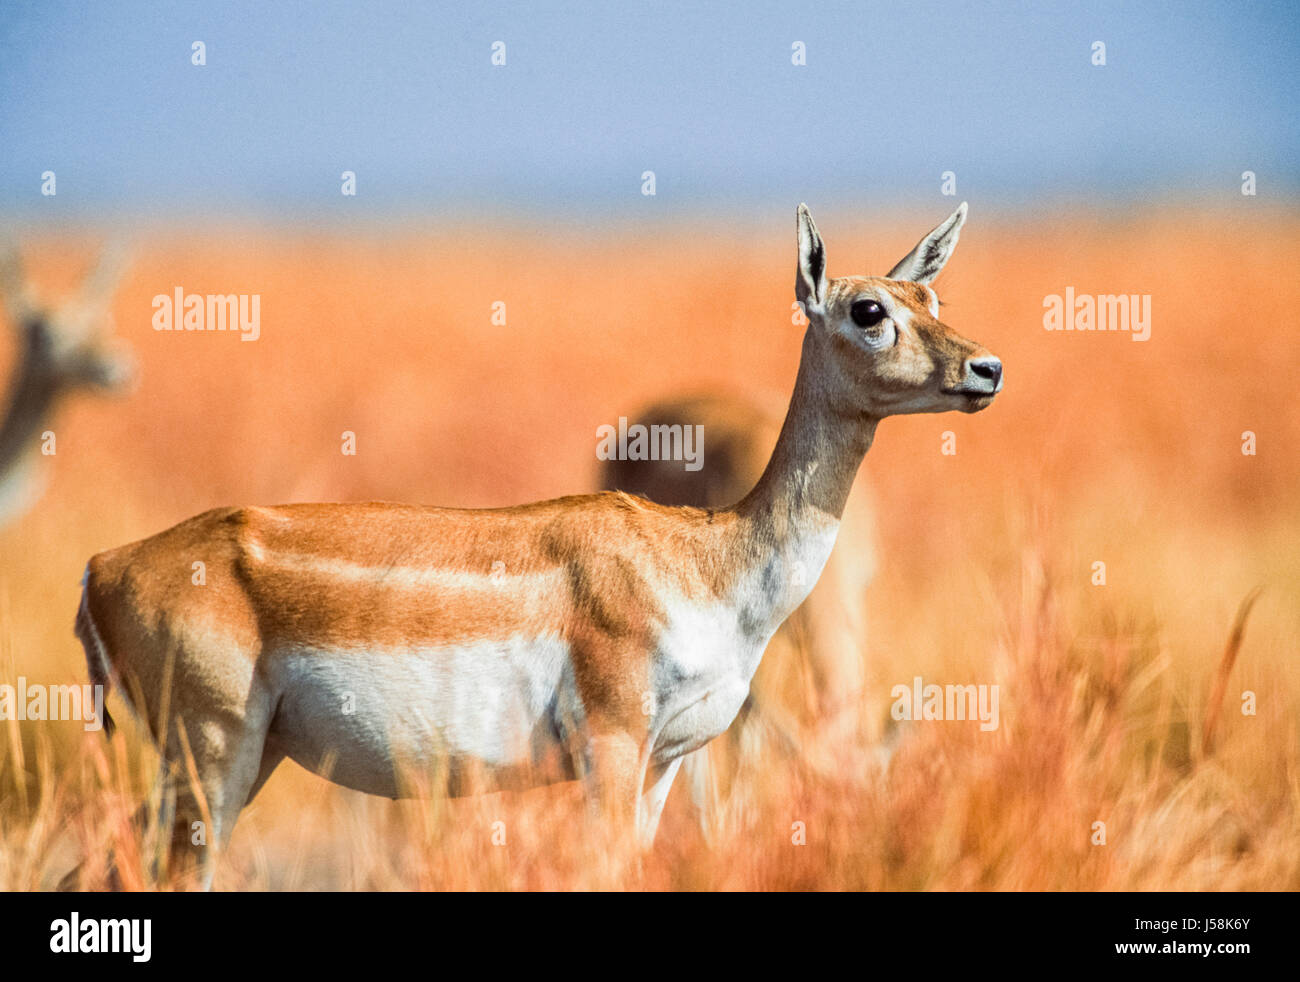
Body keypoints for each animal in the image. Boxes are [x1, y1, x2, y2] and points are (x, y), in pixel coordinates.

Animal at [73, 204, 1003, 889]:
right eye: (869, 309)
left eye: (935, 301)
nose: (986, 369)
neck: (704, 562)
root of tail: (101, 568)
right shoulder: (612, 748)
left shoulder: (663, 765)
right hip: (210, 757)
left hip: (242, 761)